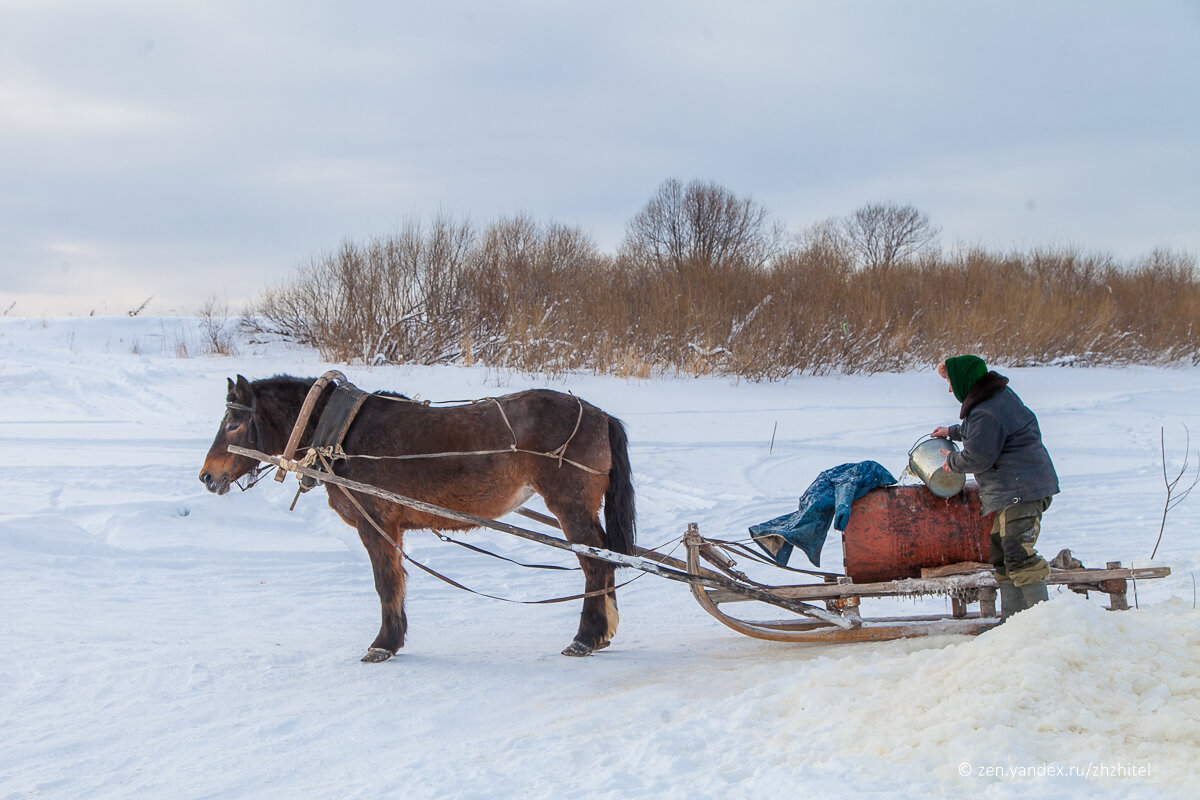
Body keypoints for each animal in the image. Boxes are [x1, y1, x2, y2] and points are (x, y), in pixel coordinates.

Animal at [196, 376, 638, 662]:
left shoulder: (374, 523)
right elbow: (394, 581)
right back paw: (602, 632)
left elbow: (385, 583)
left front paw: (383, 643)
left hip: (570, 506)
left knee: (596, 564)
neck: (343, 433)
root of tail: (599, 415)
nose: (207, 476)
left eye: (233, 422)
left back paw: (586, 637)